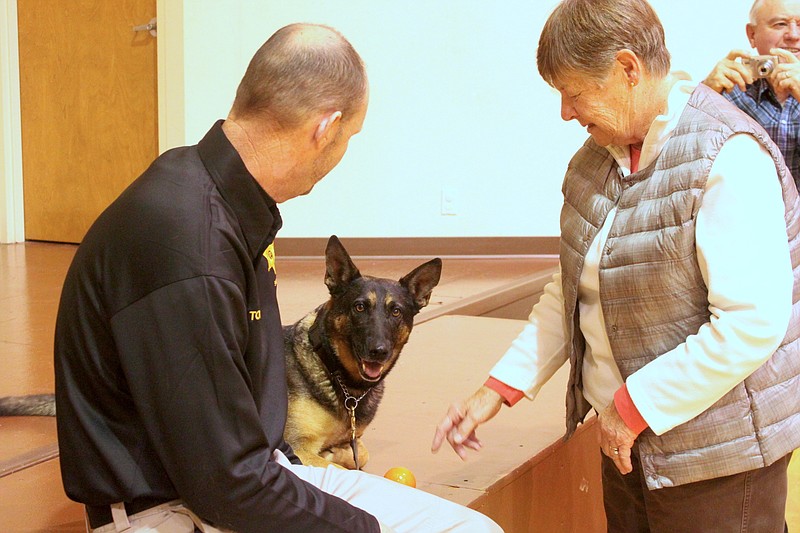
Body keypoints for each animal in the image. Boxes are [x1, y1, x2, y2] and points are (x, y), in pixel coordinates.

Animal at [282, 235, 444, 468]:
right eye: (359, 307)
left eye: (396, 311)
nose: (379, 351)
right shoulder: (295, 448)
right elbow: (341, 468)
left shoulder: (354, 438)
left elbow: (361, 453)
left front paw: (336, 452)